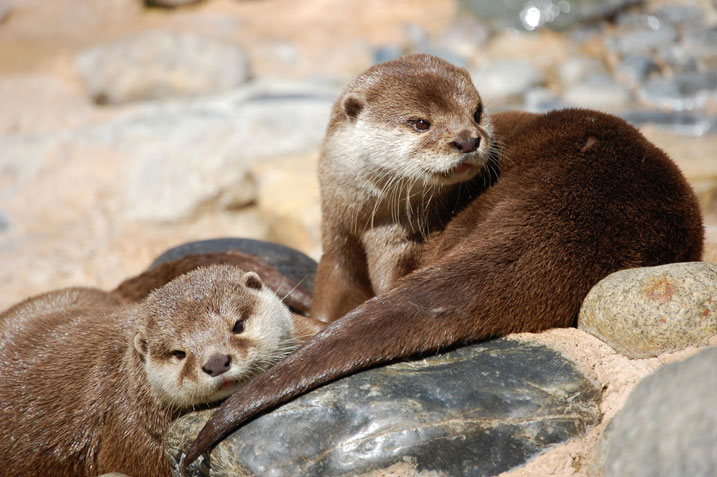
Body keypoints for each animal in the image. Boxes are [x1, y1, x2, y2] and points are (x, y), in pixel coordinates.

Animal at [182, 53, 704, 464]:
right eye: (420, 122)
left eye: (476, 111)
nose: (469, 139)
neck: (372, 217)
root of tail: (578, 220)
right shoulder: (336, 240)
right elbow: (332, 297)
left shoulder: (395, 243)